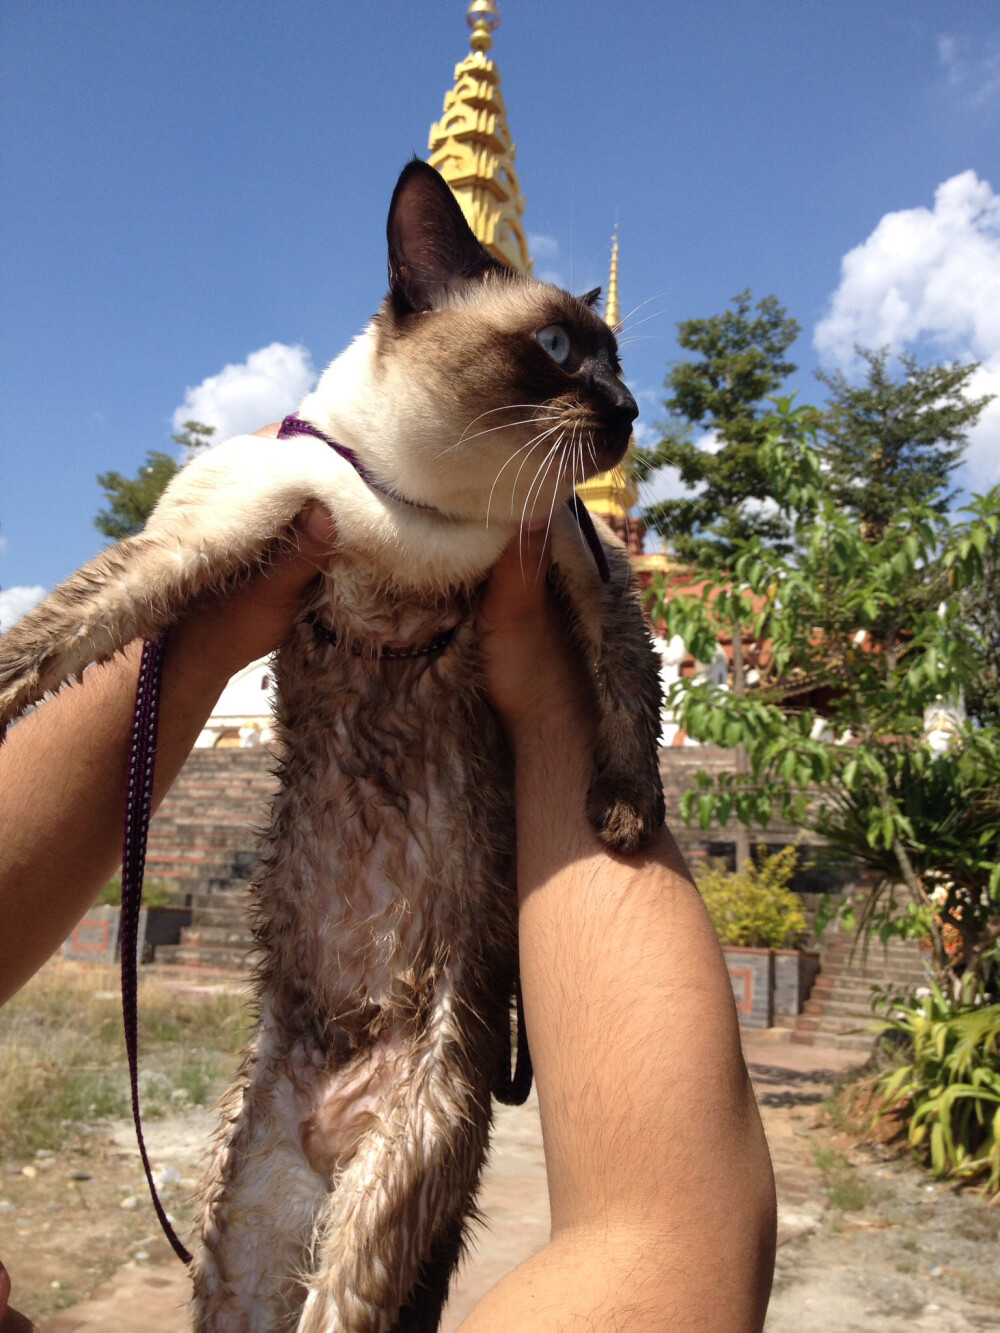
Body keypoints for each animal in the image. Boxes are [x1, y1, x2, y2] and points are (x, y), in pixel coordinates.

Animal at [1, 161, 674, 1327]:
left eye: (617, 362)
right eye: (556, 348)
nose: (632, 411)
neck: (423, 516)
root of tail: (331, 1120)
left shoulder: (578, 563)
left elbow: (629, 692)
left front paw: (627, 815)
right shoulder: (230, 526)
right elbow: (68, 627)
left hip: (382, 1195)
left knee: (345, 1293)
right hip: (239, 1241)